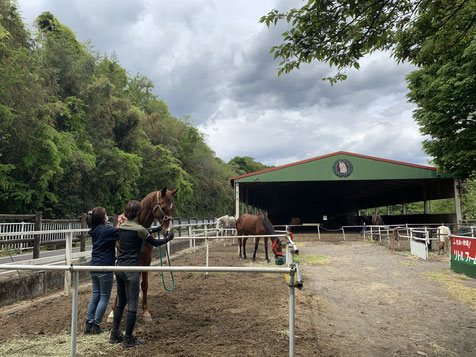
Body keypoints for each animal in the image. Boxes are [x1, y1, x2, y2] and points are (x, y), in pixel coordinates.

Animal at [108, 186, 178, 322]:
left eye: (173, 207)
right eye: (163, 207)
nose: (169, 231)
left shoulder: (147, 258)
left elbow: (144, 284)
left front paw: (146, 311)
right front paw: (112, 311)